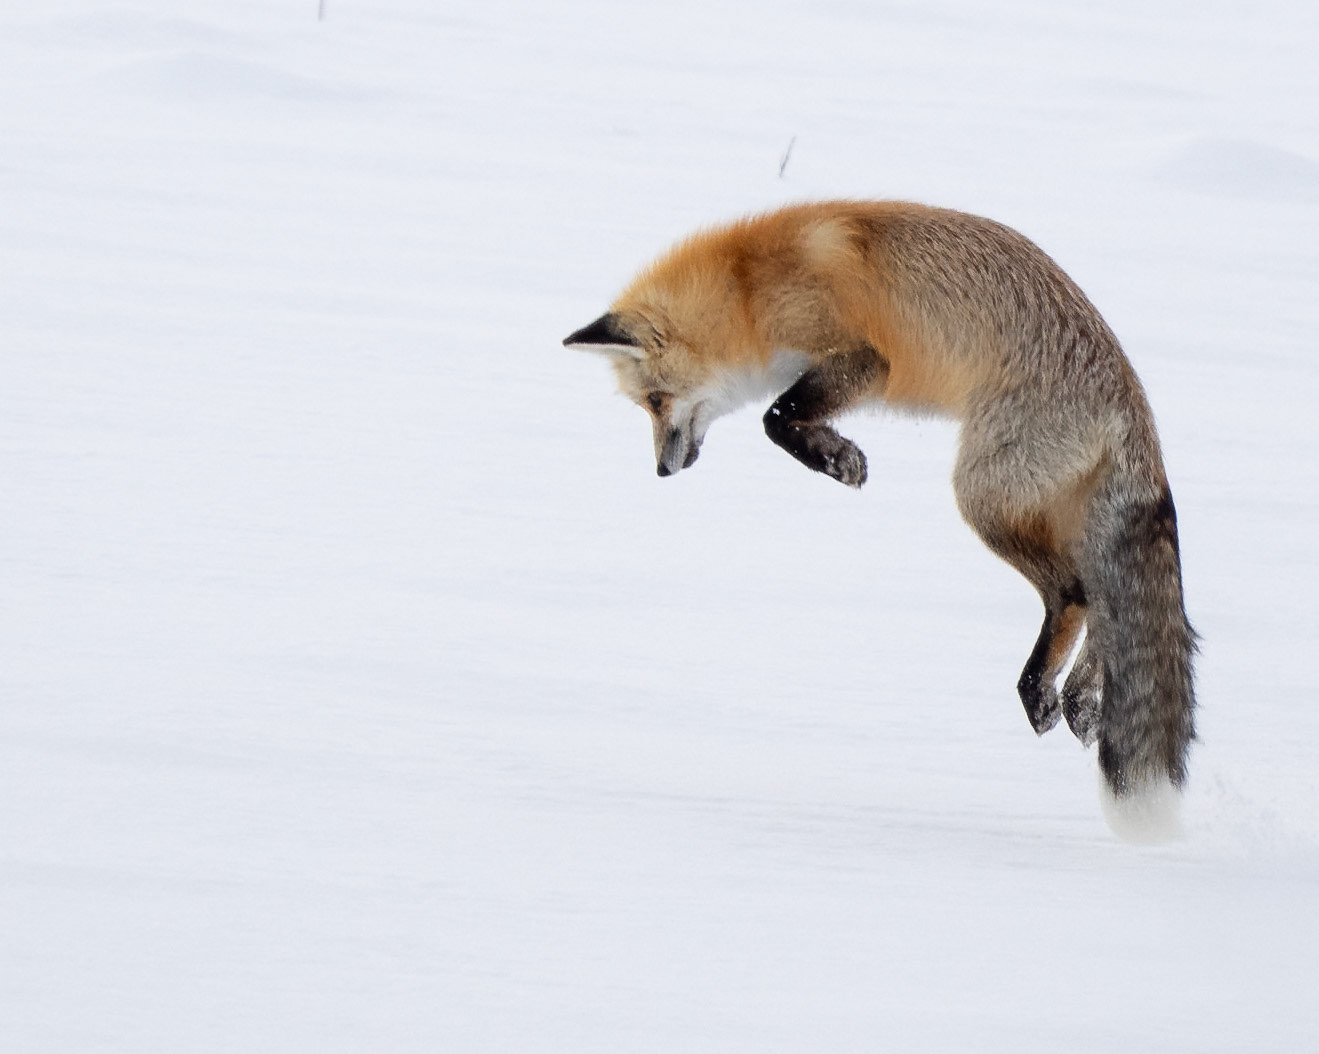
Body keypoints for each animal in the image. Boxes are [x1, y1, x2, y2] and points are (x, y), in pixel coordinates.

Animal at [564, 200, 1196, 830]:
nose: (662, 472)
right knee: (1100, 604)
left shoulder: (863, 356)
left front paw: (839, 459)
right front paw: (834, 452)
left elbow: (775, 416)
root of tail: (1134, 403)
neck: (748, 286)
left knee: (1073, 594)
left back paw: (1039, 690)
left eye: (653, 400)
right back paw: (1081, 700)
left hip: (983, 496)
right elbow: (780, 415)